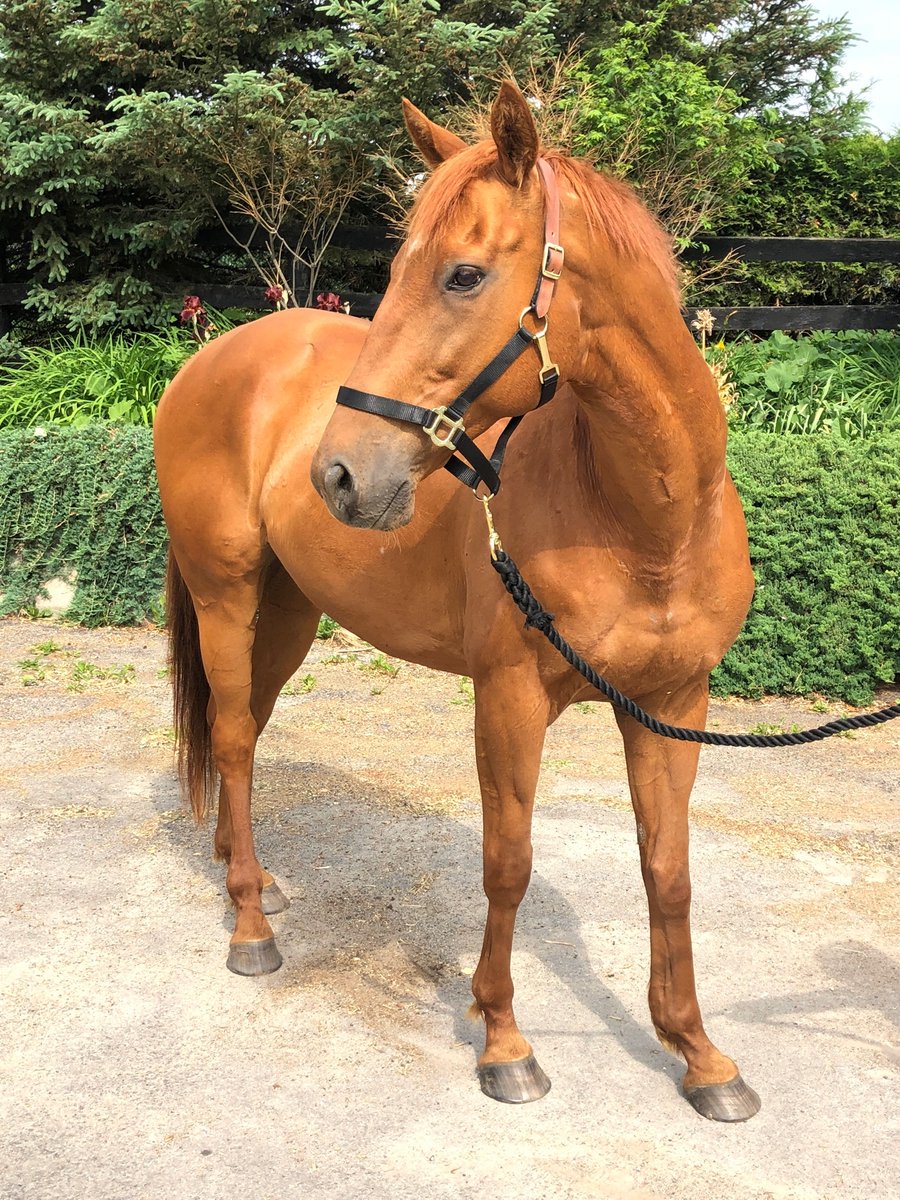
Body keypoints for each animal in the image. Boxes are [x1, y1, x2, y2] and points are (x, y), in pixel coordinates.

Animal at [154, 81, 759, 1122]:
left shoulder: (673, 704)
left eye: (464, 276)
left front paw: (699, 1055)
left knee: (251, 736)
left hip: (288, 612)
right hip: (225, 598)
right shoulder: (508, 698)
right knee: (230, 738)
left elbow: (669, 872)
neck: (645, 526)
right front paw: (504, 1043)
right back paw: (249, 929)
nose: (340, 476)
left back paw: (256, 880)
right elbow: (507, 863)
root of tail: (213, 356)